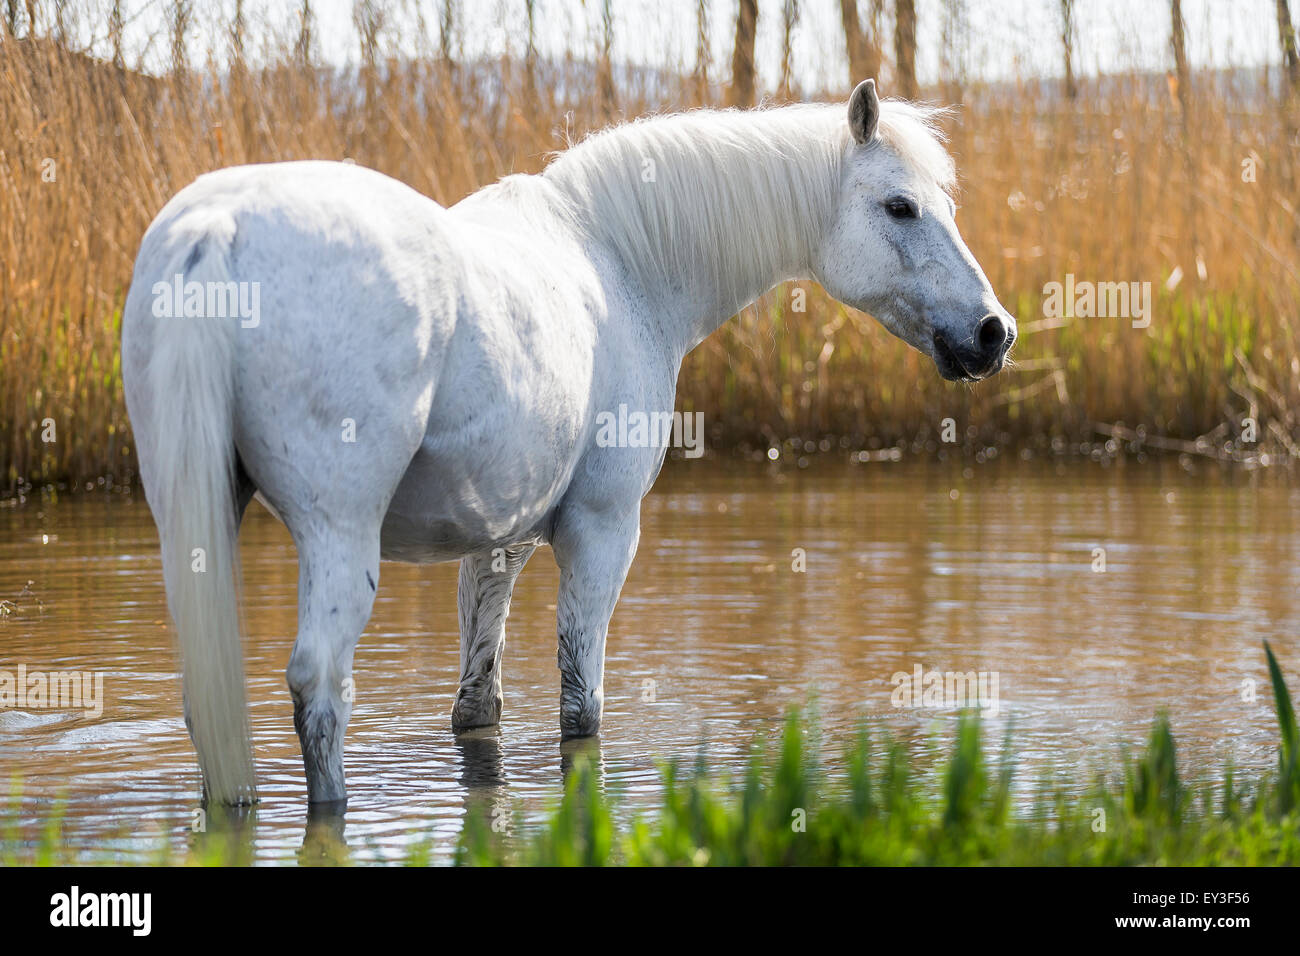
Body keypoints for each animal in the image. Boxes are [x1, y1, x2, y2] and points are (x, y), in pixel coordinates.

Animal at [122, 82, 1013, 806]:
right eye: (900, 207)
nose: (992, 332)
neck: (619, 258)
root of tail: (218, 229)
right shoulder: (601, 530)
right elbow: (581, 708)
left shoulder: (498, 542)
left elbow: (477, 705)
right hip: (339, 537)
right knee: (320, 689)